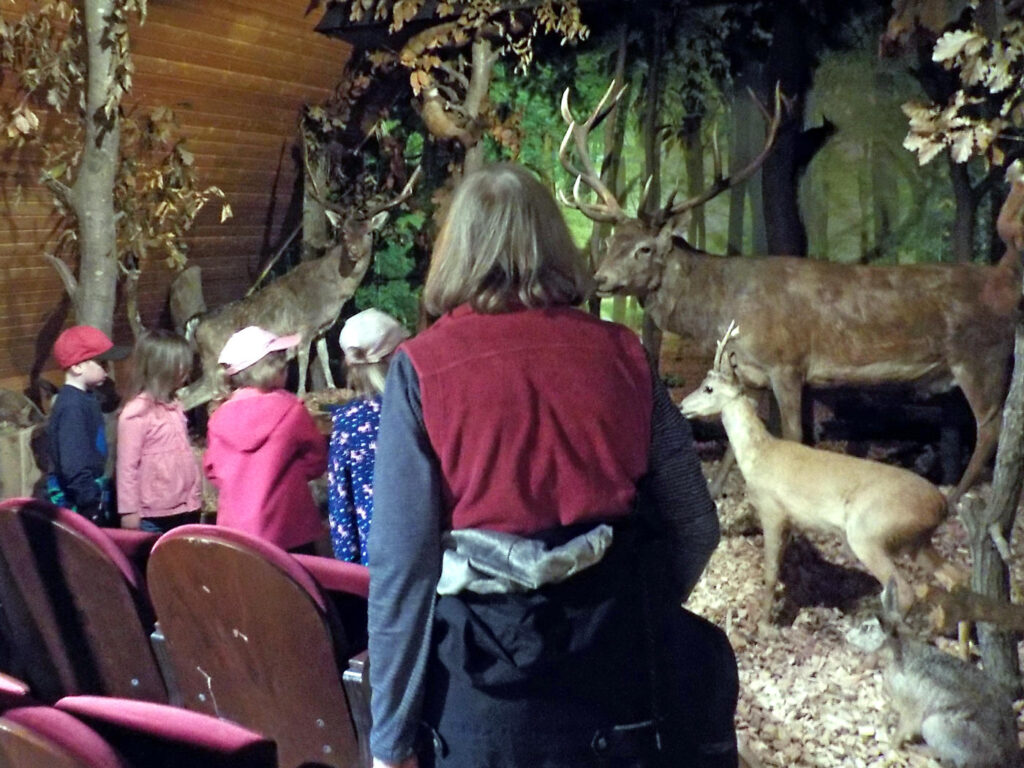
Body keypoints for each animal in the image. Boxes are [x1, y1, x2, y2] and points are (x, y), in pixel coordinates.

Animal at [679, 321, 958, 626]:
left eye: (708, 388)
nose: (681, 405)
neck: (760, 455)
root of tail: (941, 505)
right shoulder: (790, 519)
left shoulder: (772, 510)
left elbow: (770, 573)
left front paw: (764, 624)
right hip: (916, 542)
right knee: (957, 577)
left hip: (869, 535)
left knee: (906, 591)